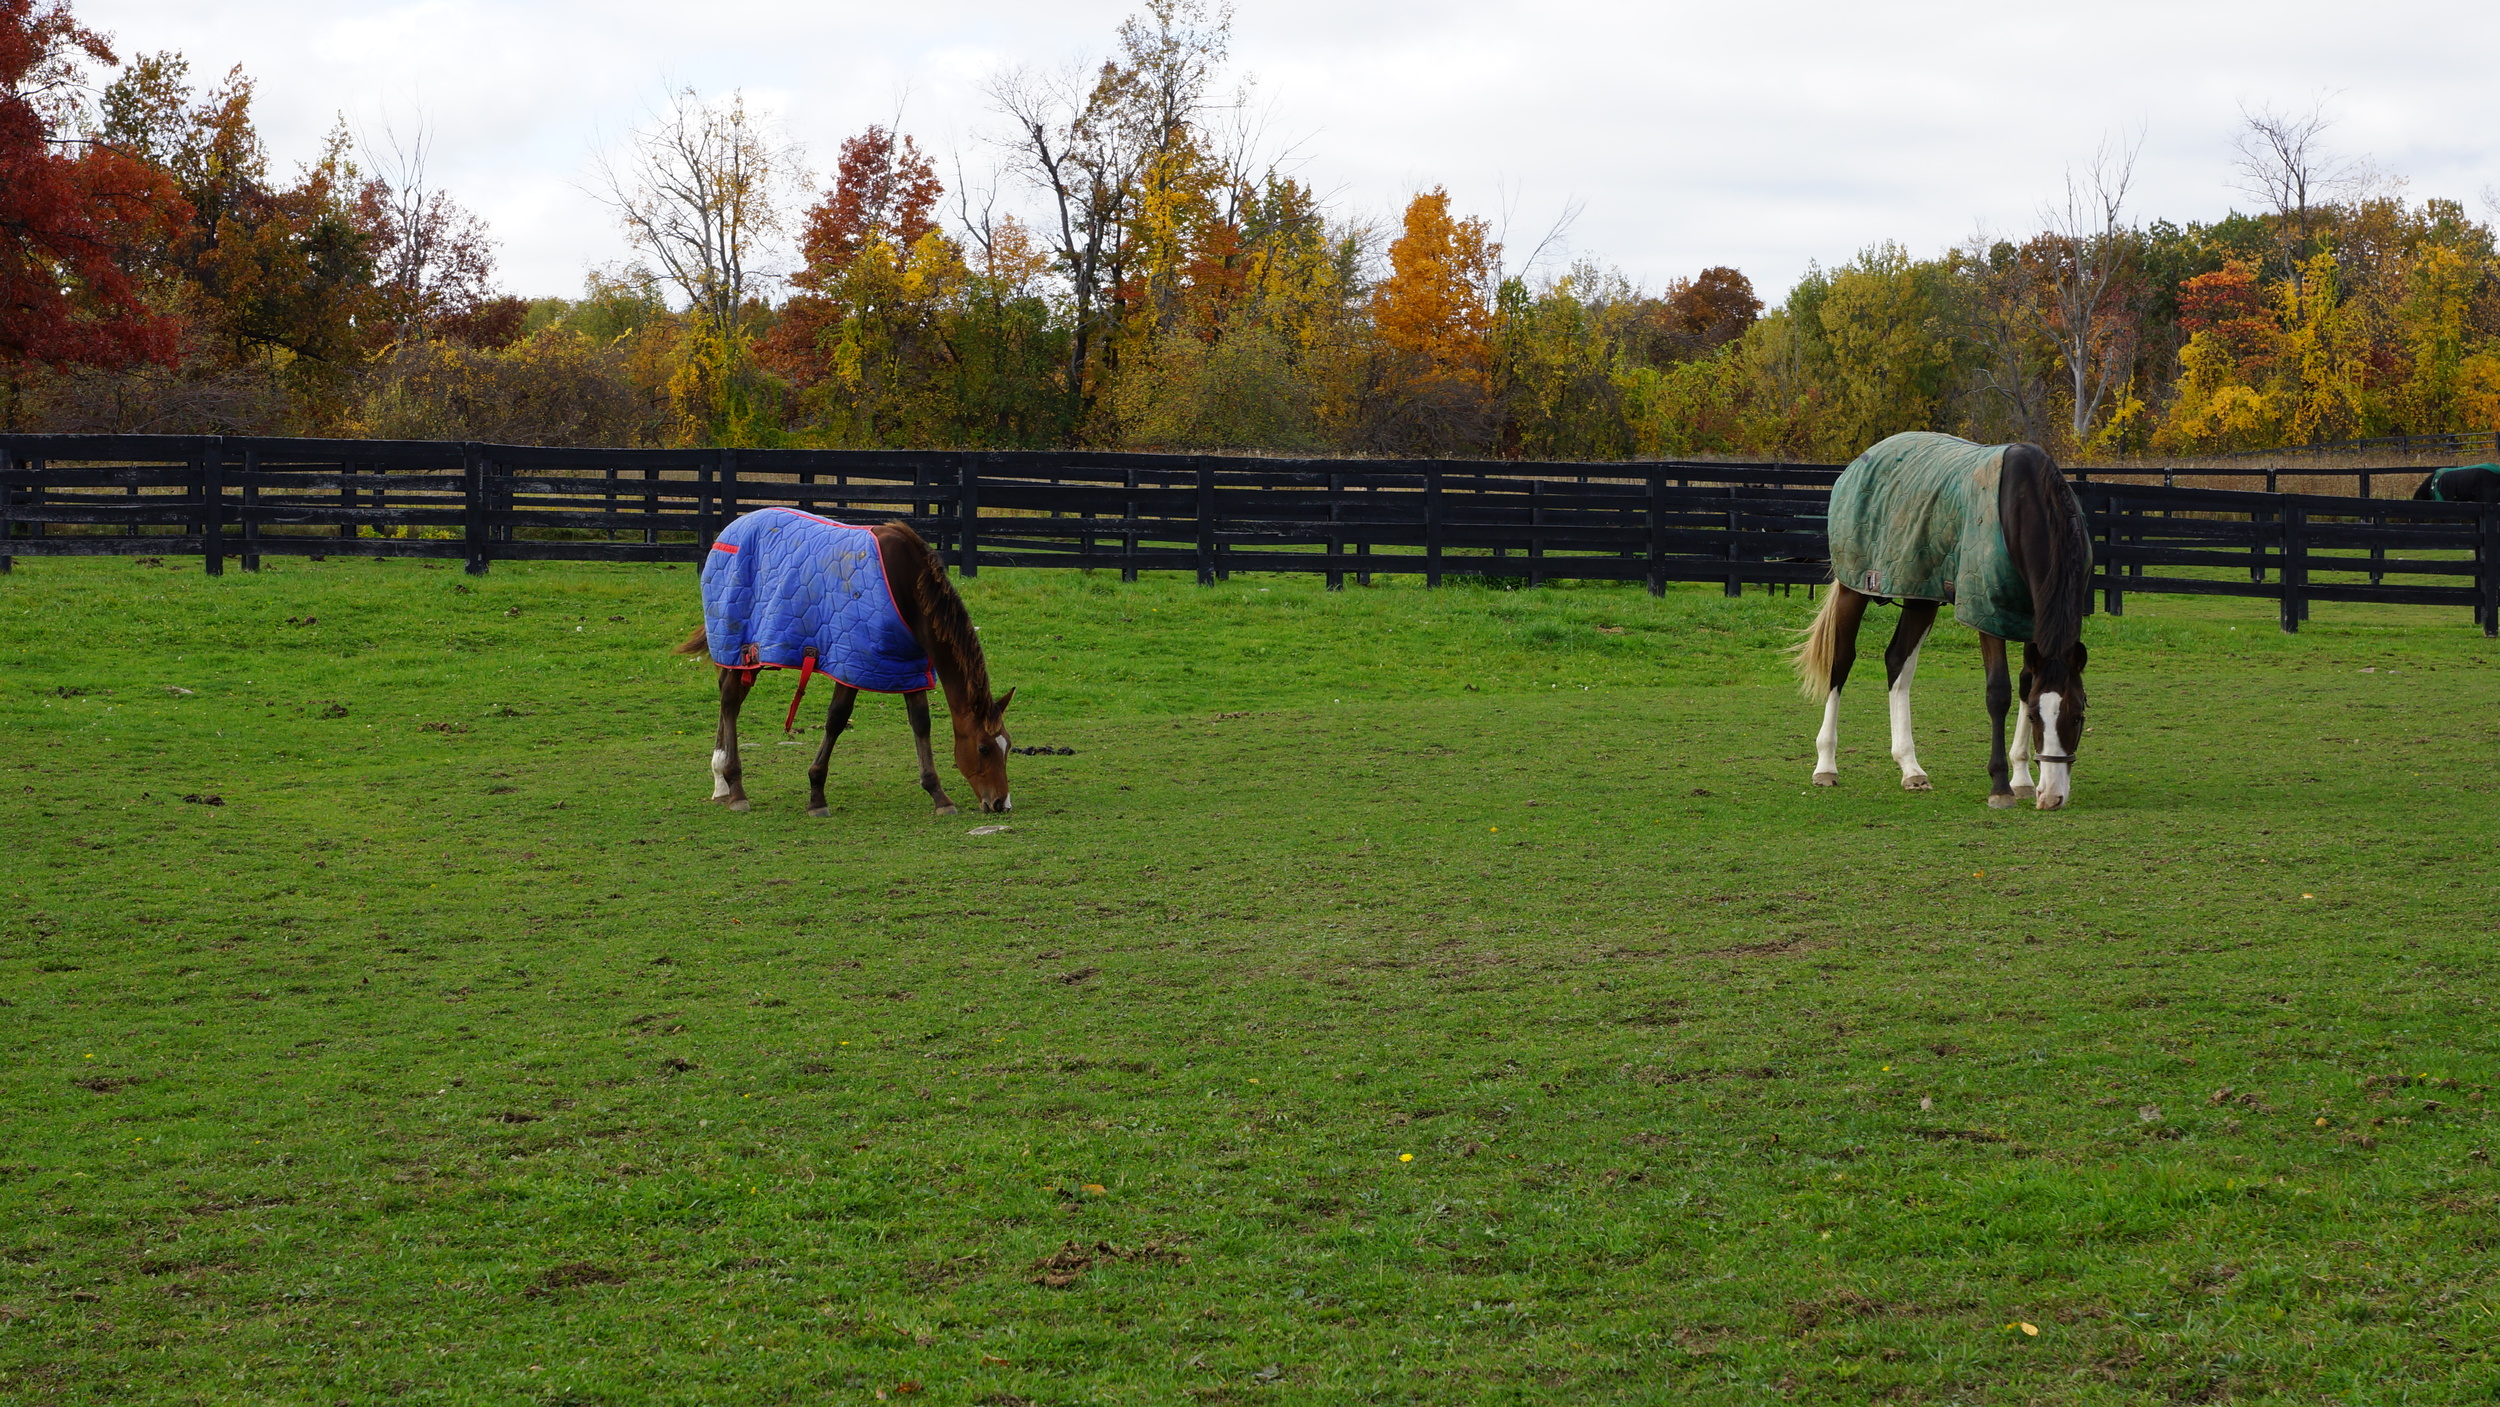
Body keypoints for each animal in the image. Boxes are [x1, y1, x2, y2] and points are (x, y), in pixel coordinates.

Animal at [675, 509, 1015, 814]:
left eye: (1008, 745)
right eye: (984, 748)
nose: (1000, 803)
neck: (905, 584)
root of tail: (728, 532)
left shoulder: (907, 666)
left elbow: (921, 722)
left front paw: (938, 795)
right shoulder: (851, 661)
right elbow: (837, 718)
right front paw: (816, 795)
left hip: (745, 657)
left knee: (728, 698)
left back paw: (721, 781)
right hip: (739, 645)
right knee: (731, 702)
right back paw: (736, 789)